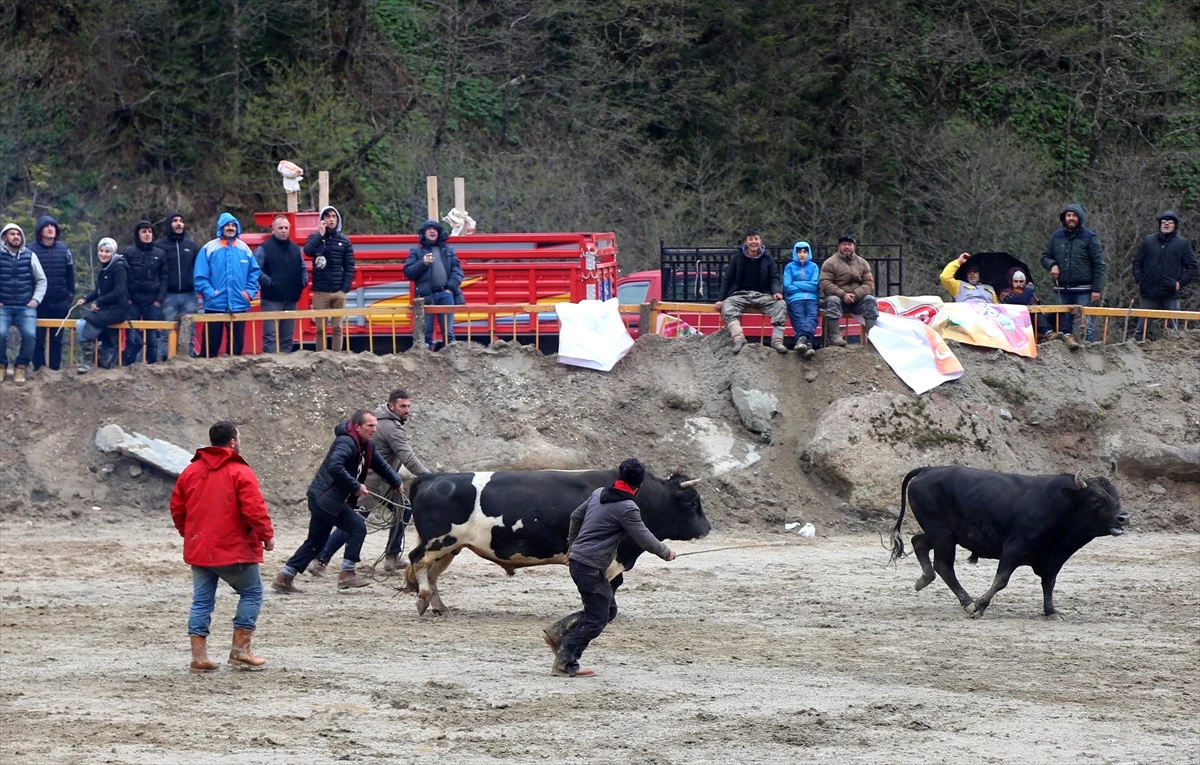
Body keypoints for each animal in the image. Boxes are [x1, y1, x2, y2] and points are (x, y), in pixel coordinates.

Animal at [403, 467, 705, 618]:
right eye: (693, 503)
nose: (707, 528)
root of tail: (434, 477)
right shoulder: (612, 557)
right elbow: (609, 585)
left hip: (450, 547)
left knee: (431, 572)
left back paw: (440, 607)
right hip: (439, 541)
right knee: (417, 561)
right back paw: (424, 601)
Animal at [888, 465, 1128, 618]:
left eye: (1117, 495)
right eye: (1095, 500)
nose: (1124, 517)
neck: (1060, 505)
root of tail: (928, 469)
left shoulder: (1054, 559)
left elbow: (1049, 583)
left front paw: (1051, 611)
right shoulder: (1013, 549)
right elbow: (1001, 580)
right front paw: (979, 606)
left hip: (943, 534)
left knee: (919, 542)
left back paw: (923, 580)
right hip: (942, 534)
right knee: (944, 566)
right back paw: (967, 602)